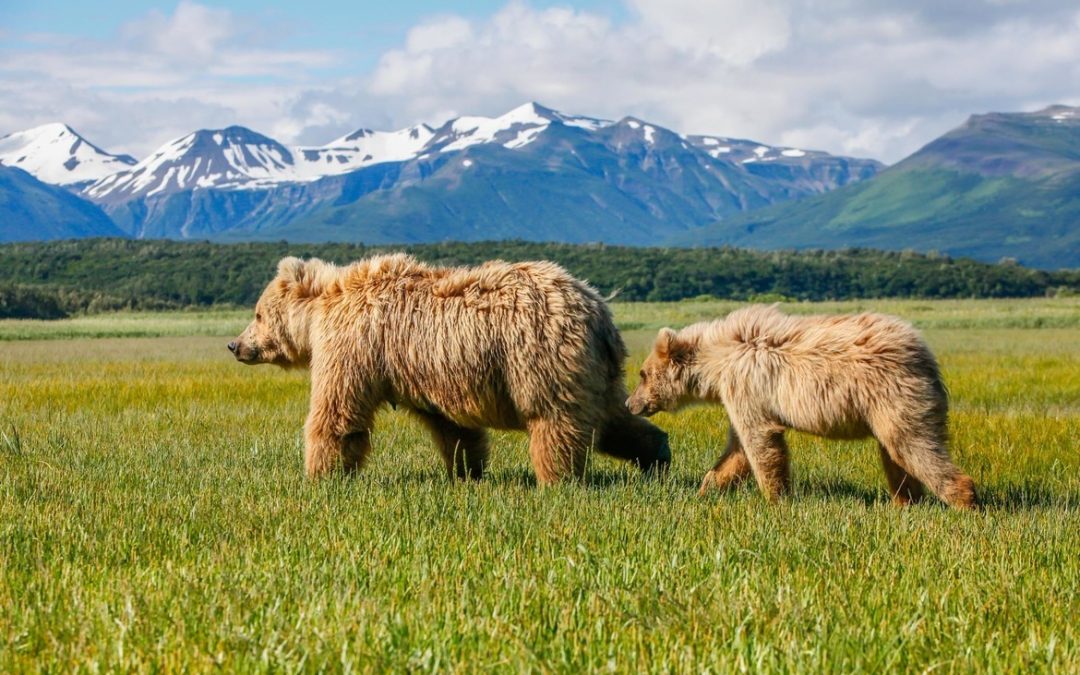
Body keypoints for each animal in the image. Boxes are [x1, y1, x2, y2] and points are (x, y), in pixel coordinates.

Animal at [229, 254, 670, 483]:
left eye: (257, 313)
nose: (235, 345)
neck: (322, 310)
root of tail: (599, 312)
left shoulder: (354, 347)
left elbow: (338, 412)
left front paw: (322, 474)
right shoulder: (425, 376)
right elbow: (452, 427)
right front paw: (466, 470)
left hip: (540, 358)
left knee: (555, 420)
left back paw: (557, 479)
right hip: (595, 370)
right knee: (612, 417)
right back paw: (656, 455)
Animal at [625, 304, 977, 509]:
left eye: (642, 373)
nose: (630, 403)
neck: (717, 362)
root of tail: (925, 355)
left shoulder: (746, 387)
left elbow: (761, 442)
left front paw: (775, 499)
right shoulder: (742, 396)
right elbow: (737, 449)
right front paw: (704, 490)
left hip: (893, 397)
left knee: (913, 447)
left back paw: (965, 501)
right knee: (895, 455)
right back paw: (905, 503)